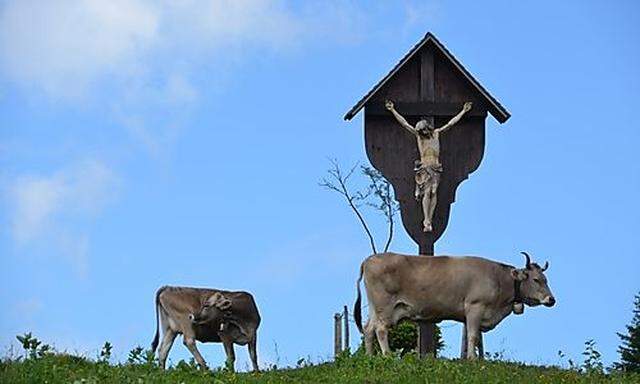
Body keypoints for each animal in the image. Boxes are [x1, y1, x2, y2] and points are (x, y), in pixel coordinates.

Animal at [356, 252, 556, 360]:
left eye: (546, 279)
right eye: (536, 279)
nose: (551, 299)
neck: (499, 278)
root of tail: (369, 259)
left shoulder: (471, 316)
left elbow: (475, 339)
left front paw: (476, 359)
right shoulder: (475, 307)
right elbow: (473, 336)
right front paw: (473, 359)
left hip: (375, 308)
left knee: (368, 329)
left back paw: (369, 356)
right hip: (385, 307)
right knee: (381, 329)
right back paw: (387, 355)